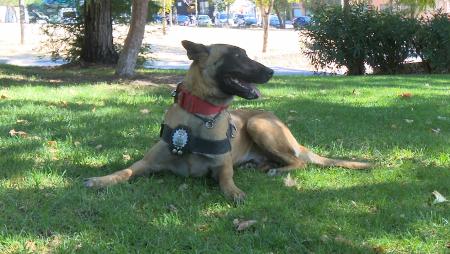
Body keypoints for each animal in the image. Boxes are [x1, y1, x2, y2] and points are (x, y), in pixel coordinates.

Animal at [83, 40, 370, 202]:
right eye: (238, 56)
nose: (271, 72)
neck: (199, 115)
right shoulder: (146, 163)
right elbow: (125, 171)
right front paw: (100, 180)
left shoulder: (222, 168)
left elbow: (226, 180)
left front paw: (235, 192)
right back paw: (260, 165)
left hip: (258, 124)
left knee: (298, 161)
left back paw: (274, 169)